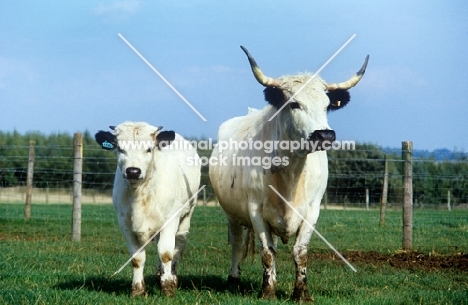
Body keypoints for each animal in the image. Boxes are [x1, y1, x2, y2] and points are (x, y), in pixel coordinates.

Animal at [95, 121, 201, 296]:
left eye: (149, 149)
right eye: (120, 149)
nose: (133, 171)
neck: (139, 193)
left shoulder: (170, 220)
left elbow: (166, 254)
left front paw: (168, 288)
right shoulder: (125, 223)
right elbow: (137, 258)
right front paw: (138, 290)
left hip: (186, 215)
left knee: (177, 246)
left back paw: (172, 276)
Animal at [209, 46, 370, 300]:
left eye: (327, 106)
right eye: (295, 104)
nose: (325, 136)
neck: (291, 175)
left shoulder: (312, 210)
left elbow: (300, 252)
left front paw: (302, 293)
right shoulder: (255, 210)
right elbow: (267, 252)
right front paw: (267, 292)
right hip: (231, 212)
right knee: (236, 242)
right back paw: (233, 279)